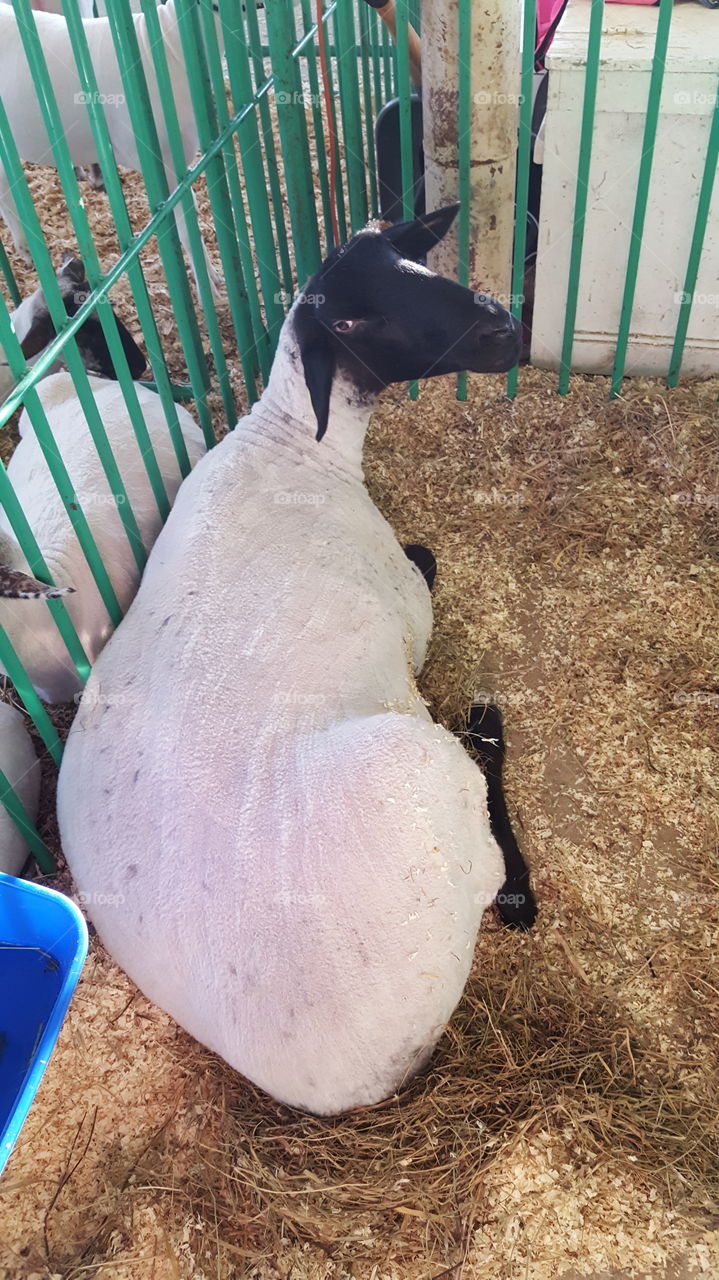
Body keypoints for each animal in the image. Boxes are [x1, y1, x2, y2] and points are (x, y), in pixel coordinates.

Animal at [58, 205, 537, 1116]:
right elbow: (424, 569)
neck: (291, 445)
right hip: (417, 765)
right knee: (500, 859)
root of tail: (357, 1082)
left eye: (417, 263)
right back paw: (488, 735)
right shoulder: (408, 605)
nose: (509, 328)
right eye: (353, 323)